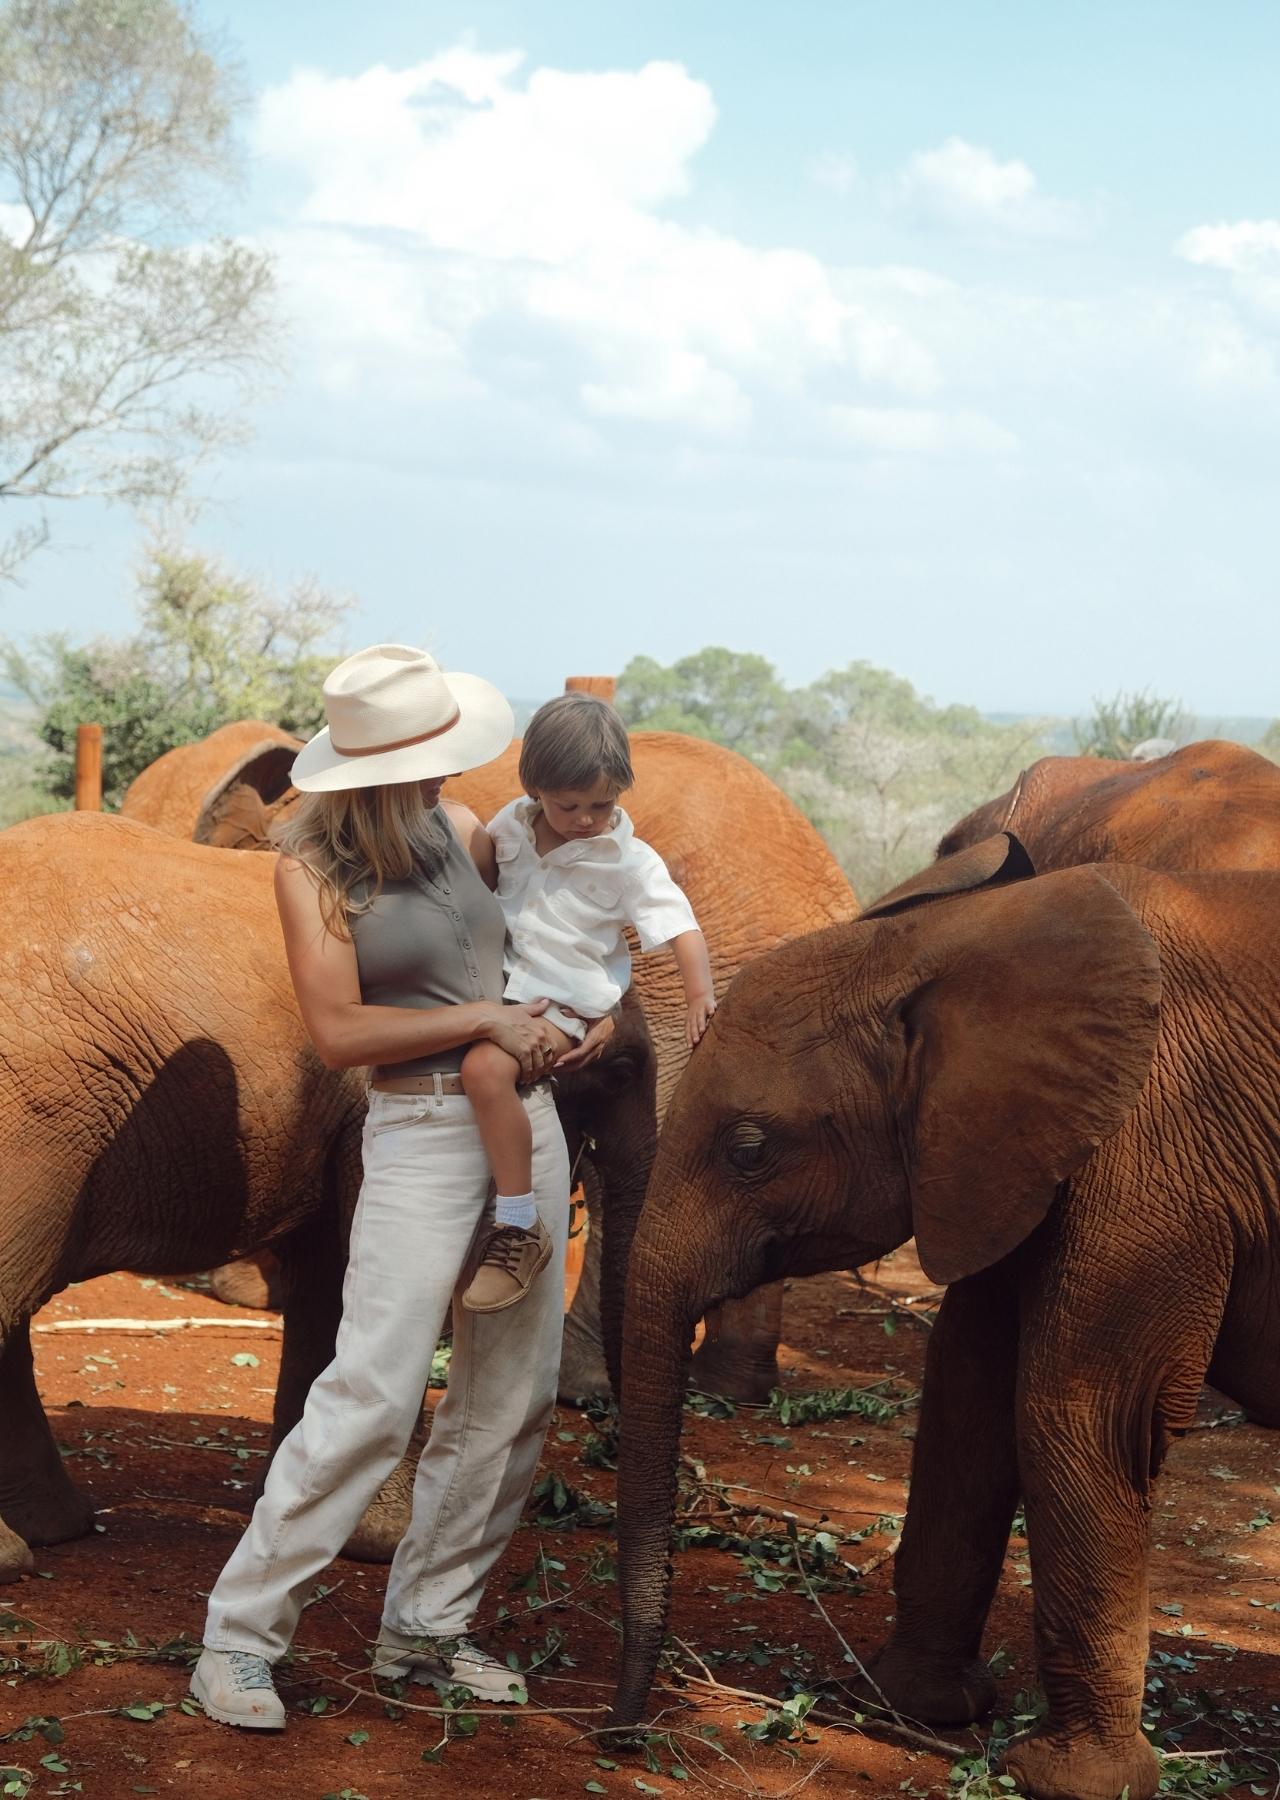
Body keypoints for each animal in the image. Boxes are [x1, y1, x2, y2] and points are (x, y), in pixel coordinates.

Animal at [609, 833, 1280, 1800]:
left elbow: (1083, 1412)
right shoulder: (1002, 1153)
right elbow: (967, 1393)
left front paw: (1068, 1780)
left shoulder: (1154, 1146)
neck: (947, 945)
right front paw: (911, 1706)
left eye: (749, 1151)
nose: (620, 1736)